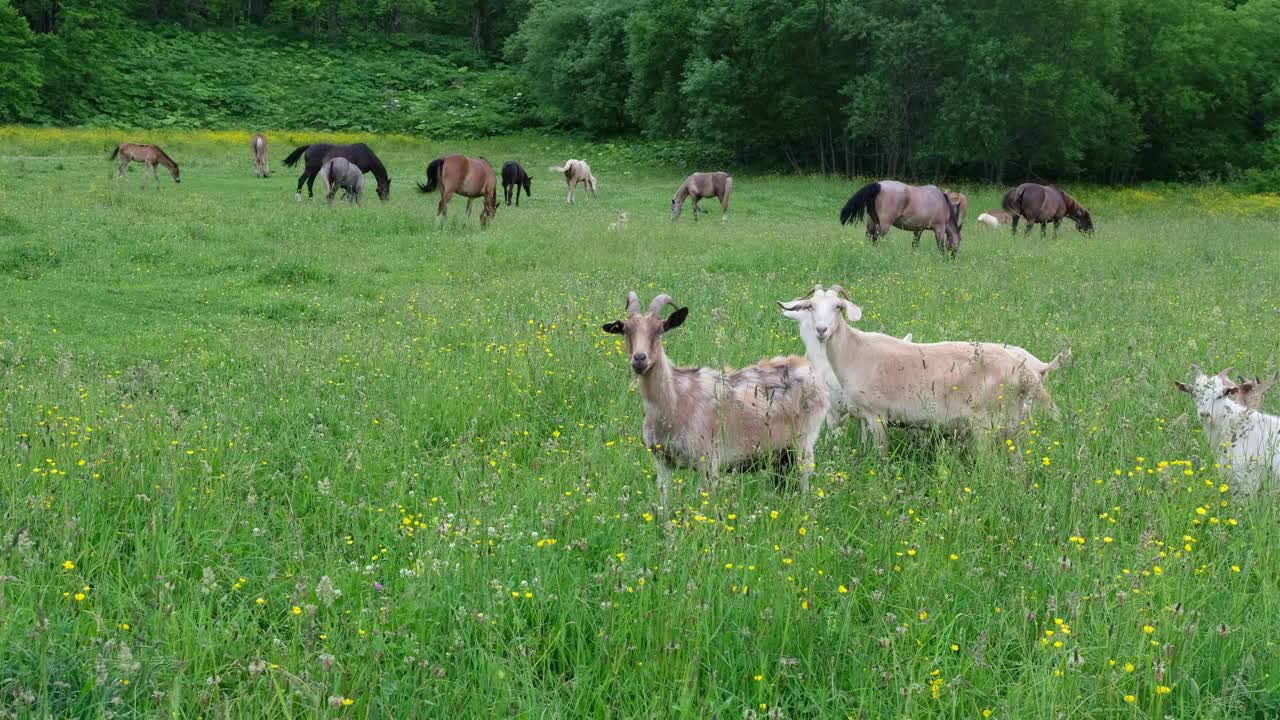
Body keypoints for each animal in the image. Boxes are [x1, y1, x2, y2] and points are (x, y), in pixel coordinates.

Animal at [601, 289, 824, 504]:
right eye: (625, 330)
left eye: (660, 330)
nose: (639, 359)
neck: (675, 399)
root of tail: (809, 368)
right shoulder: (662, 461)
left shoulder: (709, 461)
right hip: (782, 455)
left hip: (804, 442)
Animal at [778, 284, 1070, 456]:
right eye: (810, 306)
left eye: (838, 307)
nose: (821, 330)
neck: (854, 351)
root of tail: (1028, 372)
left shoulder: (877, 415)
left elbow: (881, 454)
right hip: (1013, 423)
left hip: (986, 421)